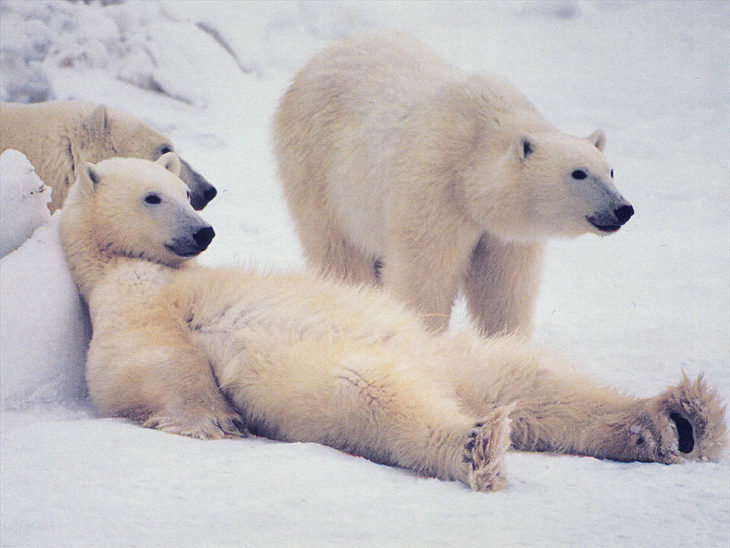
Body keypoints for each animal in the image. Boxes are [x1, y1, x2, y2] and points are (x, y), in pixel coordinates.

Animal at [59, 154, 725, 492]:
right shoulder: (129, 308)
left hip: (449, 352)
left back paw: (676, 420)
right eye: (153, 196)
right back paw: (478, 443)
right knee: (371, 396)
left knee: (531, 380)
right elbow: (144, 366)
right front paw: (215, 420)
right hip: (339, 370)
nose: (203, 231)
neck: (142, 269)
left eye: (184, 193)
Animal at [272, 32, 635, 335]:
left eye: (610, 171)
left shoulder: (503, 234)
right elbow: (426, 274)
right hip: (318, 170)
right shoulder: (435, 190)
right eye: (578, 173)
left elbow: (503, 287)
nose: (623, 209)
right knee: (339, 251)